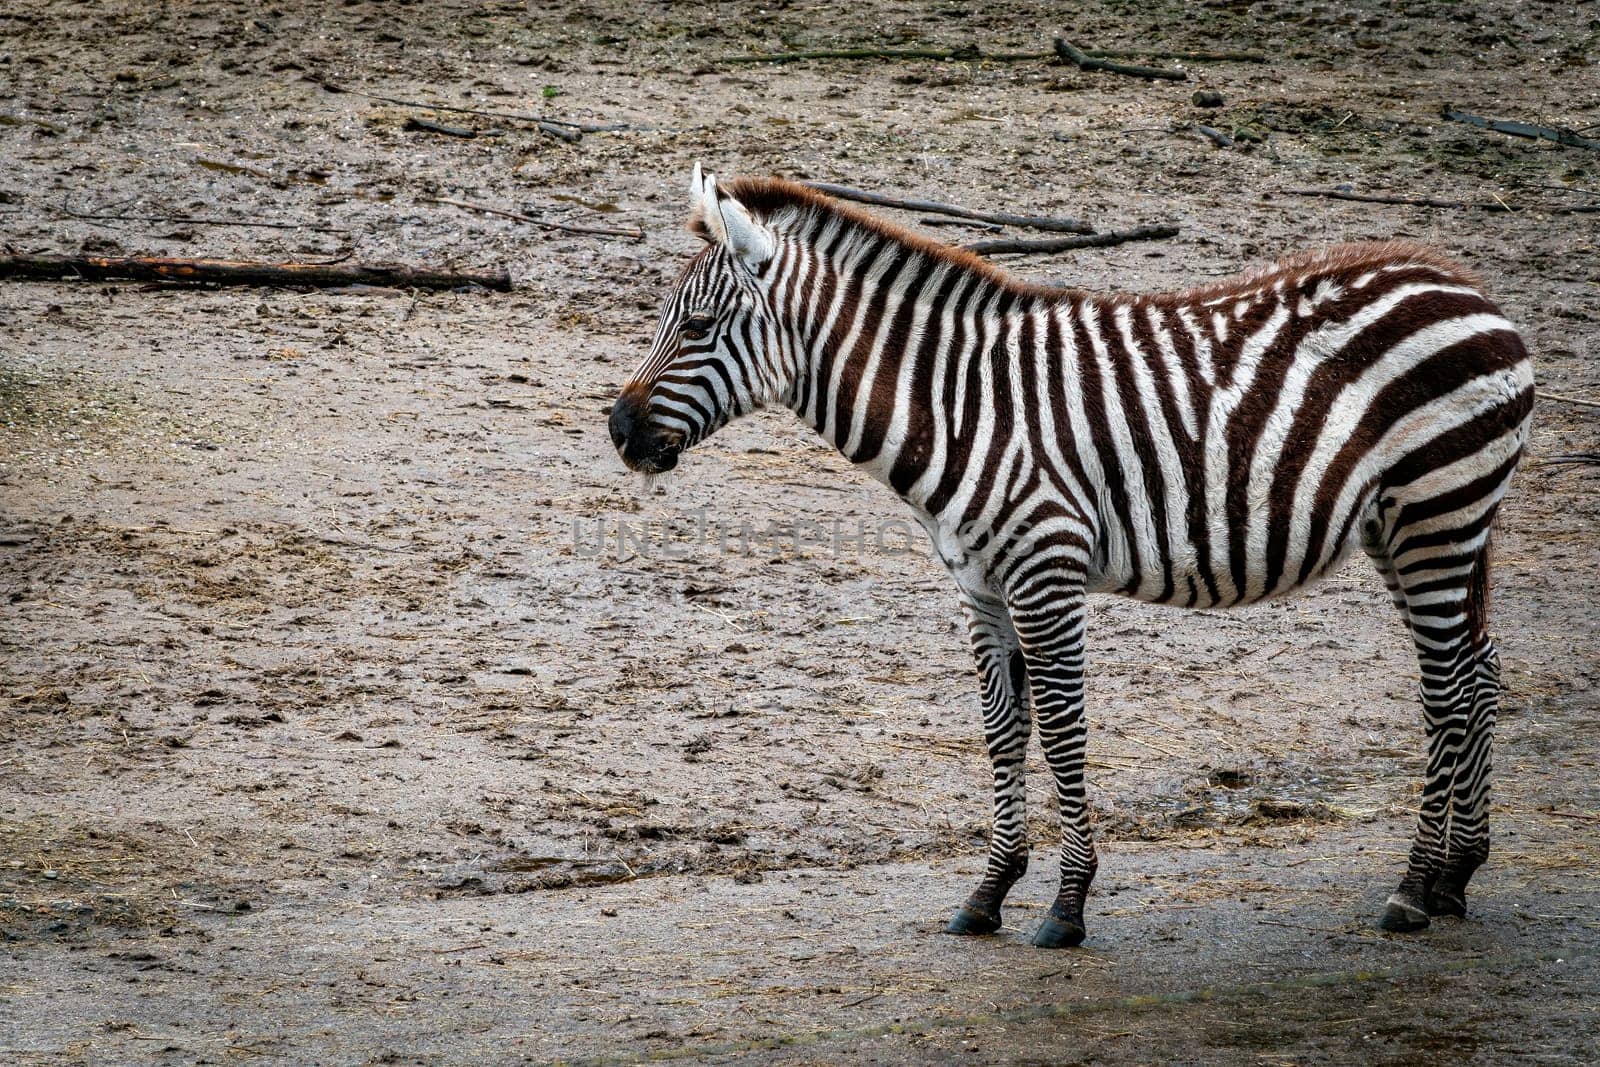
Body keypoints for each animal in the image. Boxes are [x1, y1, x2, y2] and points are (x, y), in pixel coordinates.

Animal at [604, 167, 1529, 953]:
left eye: (695, 325)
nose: (616, 430)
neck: (961, 406)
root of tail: (1470, 287)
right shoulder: (980, 584)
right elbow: (1002, 728)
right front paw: (988, 892)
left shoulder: (1045, 569)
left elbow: (1060, 727)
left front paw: (1067, 903)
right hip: (1411, 524)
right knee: (1477, 667)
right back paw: (1456, 874)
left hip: (1435, 510)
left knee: (1447, 687)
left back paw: (1412, 887)